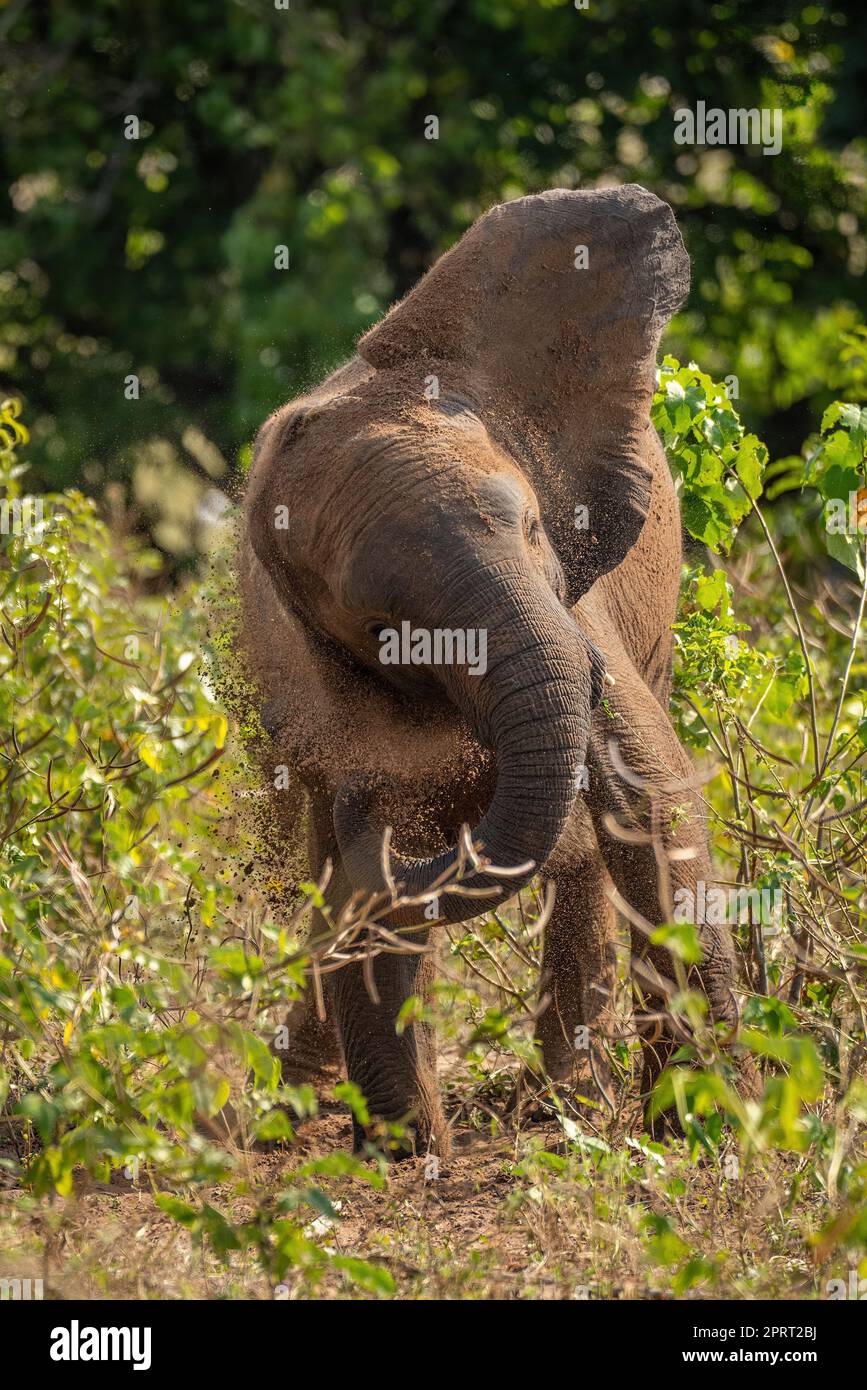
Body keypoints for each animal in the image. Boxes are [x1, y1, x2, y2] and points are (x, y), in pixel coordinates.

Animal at [238, 184, 739, 1158]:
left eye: (535, 530)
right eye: (384, 630)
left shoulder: (580, 602)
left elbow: (648, 799)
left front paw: (700, 1131)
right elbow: (384, 840)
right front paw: (409, 1152)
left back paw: (559, 1104)